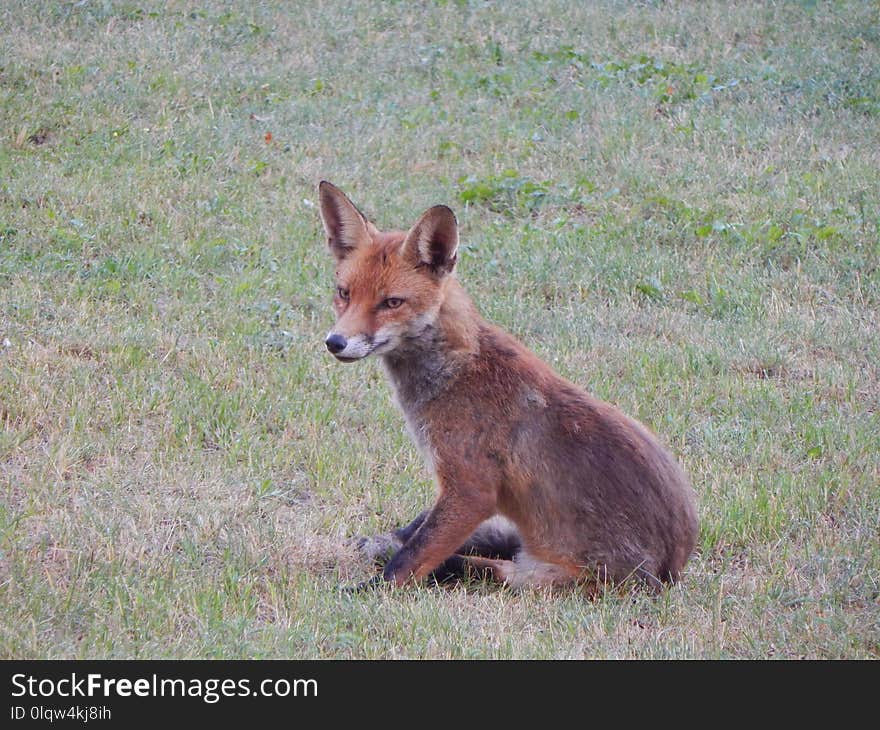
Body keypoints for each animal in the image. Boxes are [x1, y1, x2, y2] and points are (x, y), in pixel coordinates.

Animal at [320, 182, 696, 592]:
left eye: (391, 302)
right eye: (344, 293)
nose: (335, 342)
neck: (455, 369)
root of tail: (672, 569)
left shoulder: (470, 489)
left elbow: (407, 563)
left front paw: (365, 593)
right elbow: (413, 536)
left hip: (537, 576)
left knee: (462, 564)